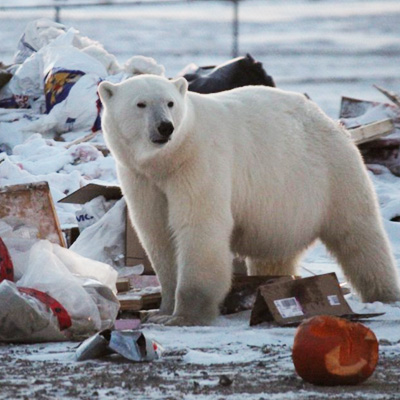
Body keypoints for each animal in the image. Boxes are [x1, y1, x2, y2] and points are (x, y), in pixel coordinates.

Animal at [99, 74, 400, 324]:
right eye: (141, 104)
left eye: (170, 103)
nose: (165, 127)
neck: (168, 160)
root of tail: (328, 119)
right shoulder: (141, 178)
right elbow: (157, 233)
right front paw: (160, 311)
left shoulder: (198, 162)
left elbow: (198, 226)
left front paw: (184, 315)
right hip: (283, 200)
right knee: (276, 251)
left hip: (331, 173)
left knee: (359, 235)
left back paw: (384, 294)